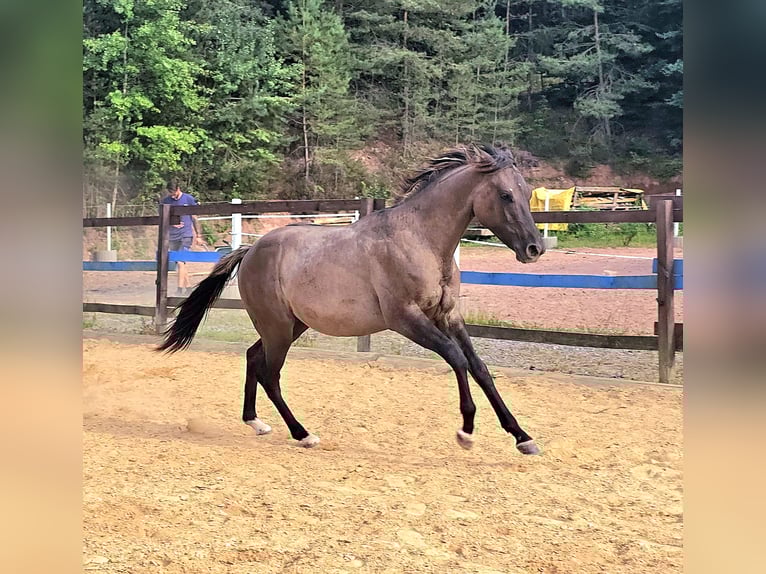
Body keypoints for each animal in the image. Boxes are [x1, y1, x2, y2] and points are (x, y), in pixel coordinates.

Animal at [158, 144, 545, 454]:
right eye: (506, 195)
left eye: (527, 193)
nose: (534, 249)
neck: (419, 240)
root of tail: (251, 249)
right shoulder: (406, 319)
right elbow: (456, 359)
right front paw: (466, 432)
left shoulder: (448, 315)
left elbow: (480, 368)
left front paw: (523, 438)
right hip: (278, 327)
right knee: (270, 374)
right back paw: (303, 434)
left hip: (289, 326)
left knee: (254, 358)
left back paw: (257, 423)